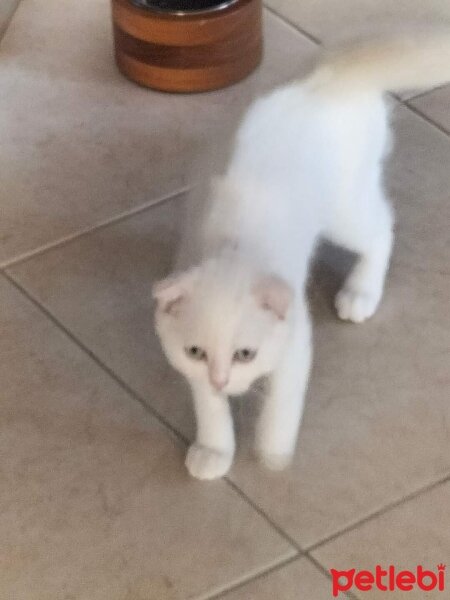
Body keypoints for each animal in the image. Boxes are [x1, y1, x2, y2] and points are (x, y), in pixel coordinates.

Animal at [152, 34, 450, 482]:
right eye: (196, 353)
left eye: (245, 355)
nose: (222, 381)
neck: (232, 250)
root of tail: (329, 77)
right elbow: (208, 407)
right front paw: (214, 449)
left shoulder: (295, 341)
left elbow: (282, 402)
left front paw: (273, 453)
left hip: (344, 210)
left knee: (382, 227)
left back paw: (361, 292)